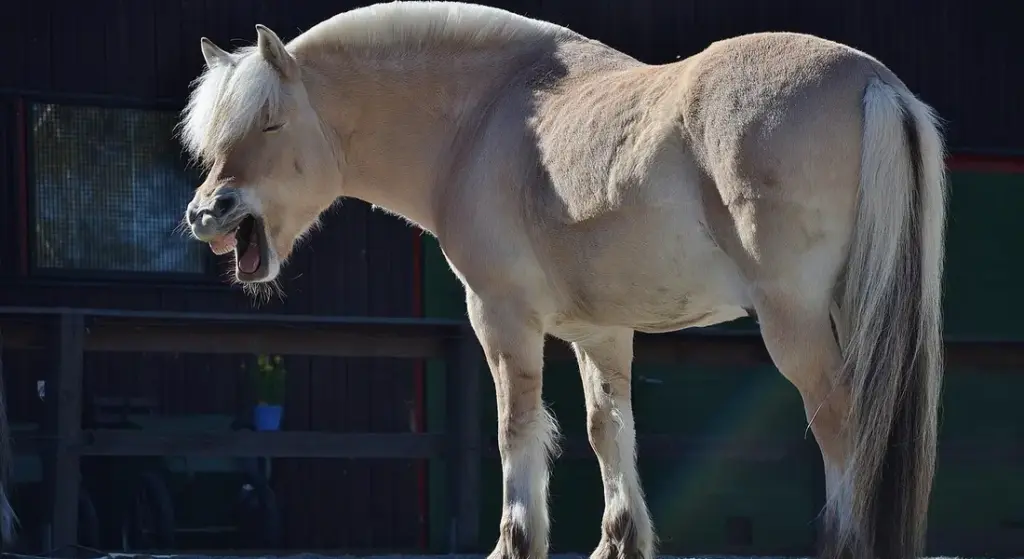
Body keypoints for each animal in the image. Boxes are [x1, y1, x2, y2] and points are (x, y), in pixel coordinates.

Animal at [180, 3, 947, 559]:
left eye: (271, 122)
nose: (206, 212)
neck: (482, 119)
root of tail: (875, 84)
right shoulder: (599, 331)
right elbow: (609, 430)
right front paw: (619, 542)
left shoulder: (501, 318)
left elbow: (517, 428)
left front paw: (515, 543)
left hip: (798, 325)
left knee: (844, 426)